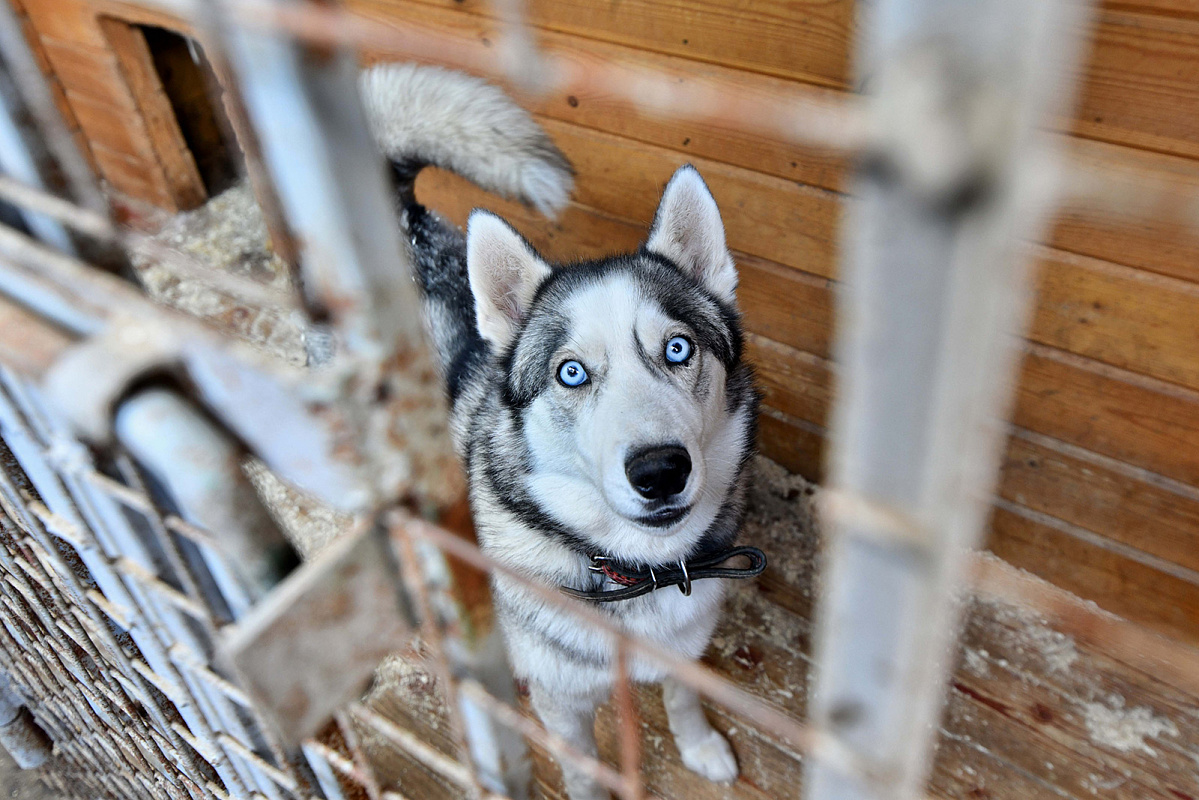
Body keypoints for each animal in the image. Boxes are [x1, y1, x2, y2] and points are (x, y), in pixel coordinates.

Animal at [362, 64, 757, 800]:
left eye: (679, 349)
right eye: (570, 372)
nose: (659, 470)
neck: (637, 573)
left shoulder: (684, 647)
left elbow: (683, 696)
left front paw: (699, 747)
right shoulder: (563, 702)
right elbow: (584, 772)